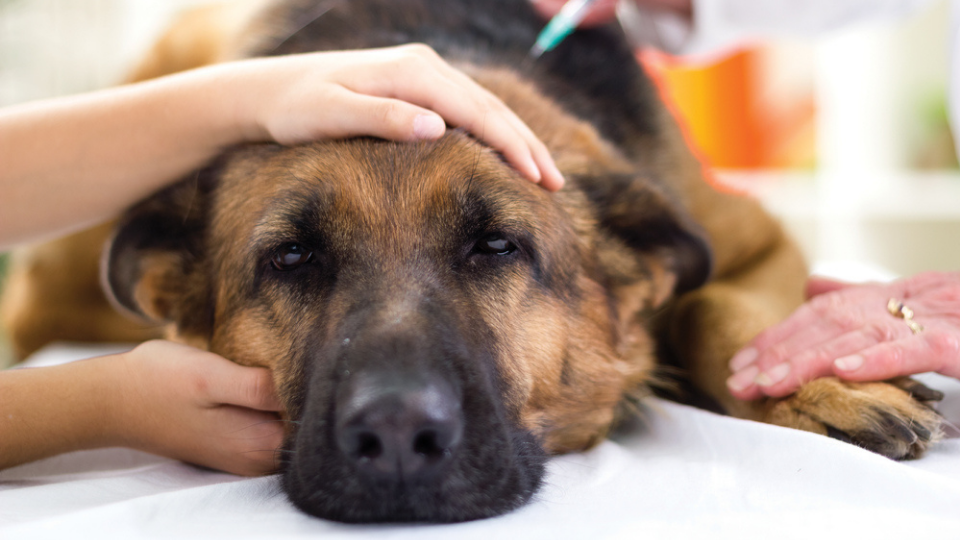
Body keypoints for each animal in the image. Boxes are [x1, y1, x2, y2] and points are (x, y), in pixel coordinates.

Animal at [0, 0, 944, 524]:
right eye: (292, 256)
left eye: (496, 246)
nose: (394, 436)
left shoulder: (752, 240)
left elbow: (718, 309)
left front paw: (816, 387)